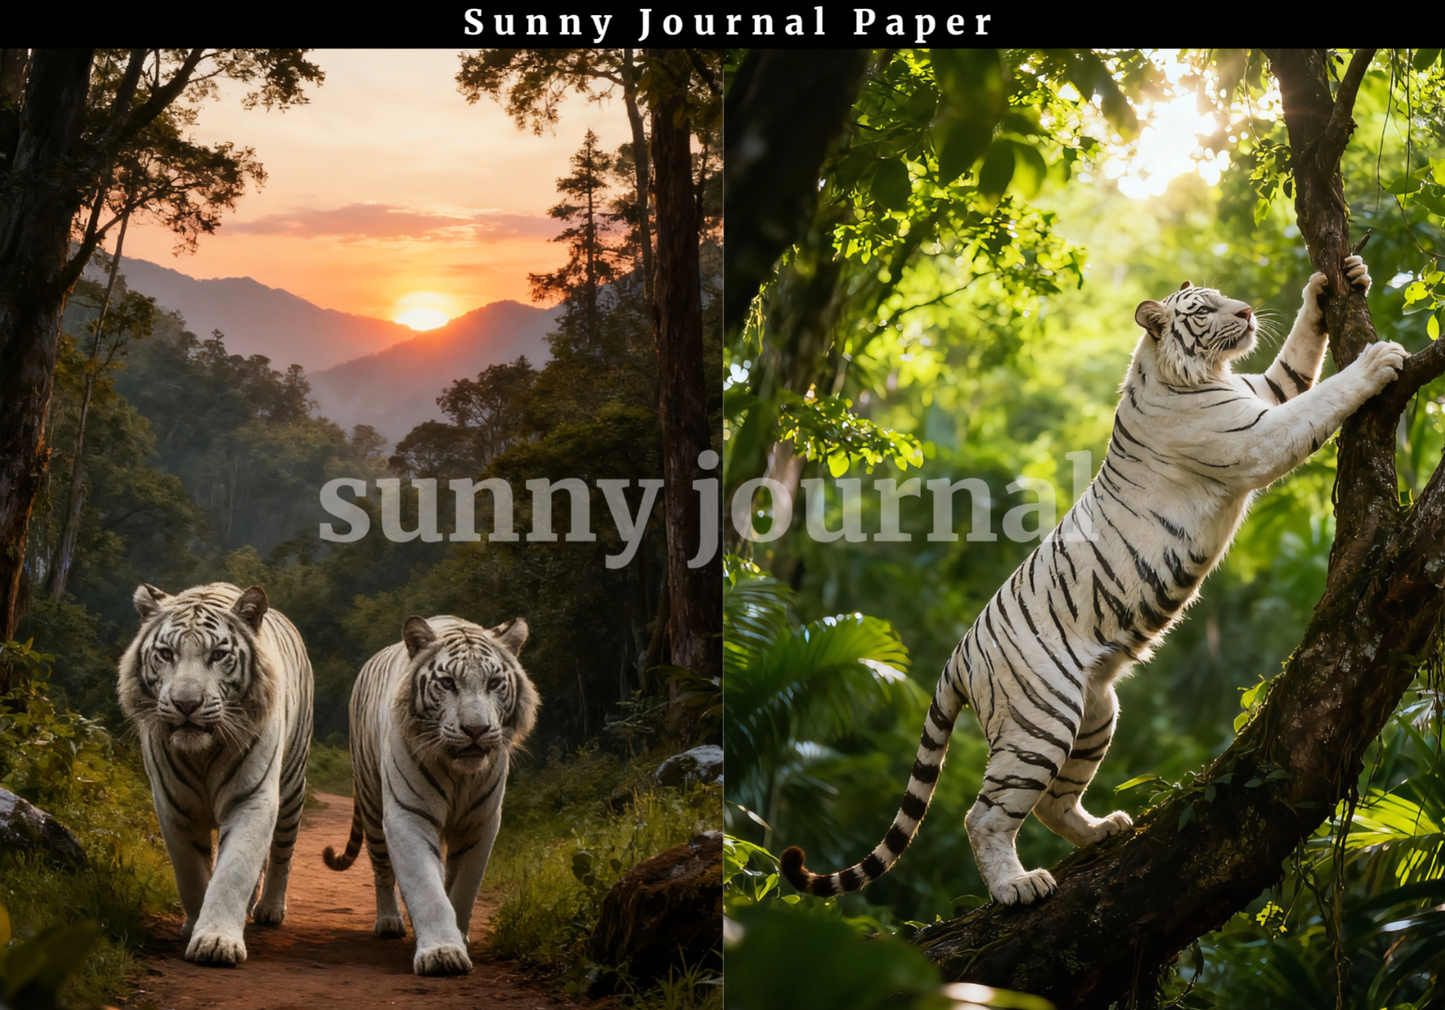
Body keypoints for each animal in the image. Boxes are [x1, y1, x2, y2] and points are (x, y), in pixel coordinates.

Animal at [117, 582, 313, 964]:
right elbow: (191, 874)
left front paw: (217, 941)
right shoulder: (172, 805)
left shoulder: (251, 799)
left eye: (219, 655)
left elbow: (233, 872)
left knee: (282, 851)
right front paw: (194, 926)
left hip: (293, 786)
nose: (186, 704)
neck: (201, 754)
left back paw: (269, 908)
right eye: (166, 653)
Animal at [322, 614, 538, 975]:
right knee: (382, 869)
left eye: (494, 682)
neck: (460, 774)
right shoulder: (409, 816)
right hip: (371, 802)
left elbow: (462, 889)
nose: (476, 729)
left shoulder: (479, 823)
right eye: (448, 683)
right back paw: (390, 921)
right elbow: (426, 888)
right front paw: (442, 953)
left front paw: (458, 937)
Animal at [782, 254, 1408, 907]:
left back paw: (1103, 830)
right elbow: (1322, 399)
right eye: (1202, 310)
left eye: (1224, 299)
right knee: (985, 815)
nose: (1244, 311)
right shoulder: (1255, 436)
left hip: (1094, 712)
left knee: (1053, 803)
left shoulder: (1264, 392)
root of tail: (958, 657)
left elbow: (1297, 360)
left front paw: (1336, 279)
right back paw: (1017, 887)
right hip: (1040, 721)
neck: (1194, 374)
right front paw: (1378, 360)